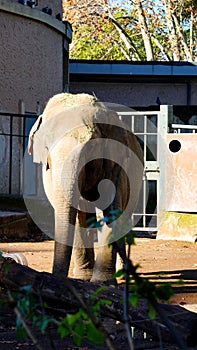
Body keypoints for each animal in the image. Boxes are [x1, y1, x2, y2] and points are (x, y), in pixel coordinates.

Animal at [28, 92, 143, 282]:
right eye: (46, 147)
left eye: (92, 147)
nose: (55, 278)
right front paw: (84, 278)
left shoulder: (114, 165)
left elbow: (110, 211)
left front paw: (103, 282)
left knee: (124, 214)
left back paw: (122, 273)